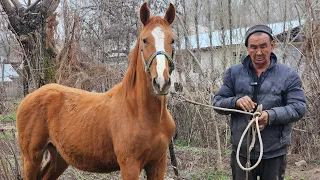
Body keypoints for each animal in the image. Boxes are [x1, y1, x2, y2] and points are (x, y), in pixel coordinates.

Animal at [16, 2, 178, 180]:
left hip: (59, 156)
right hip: (31, 157)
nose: (161, 82)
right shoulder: (130, 165)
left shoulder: (158, 164)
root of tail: (28, 97)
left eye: (172, 40)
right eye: (145, 40)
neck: (139, 111)